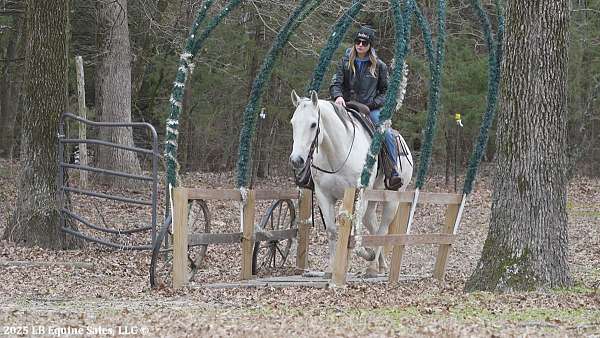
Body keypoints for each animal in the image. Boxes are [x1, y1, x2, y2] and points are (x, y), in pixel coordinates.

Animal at [290, 90, 412, 278]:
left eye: (313, 124)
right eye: (293, 123)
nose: (296, 160)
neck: (337, 152)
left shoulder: (358, 195)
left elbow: (352, 230)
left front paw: (362, 255)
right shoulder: (324, 195)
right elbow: (332, 231)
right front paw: (331, 268)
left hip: (393, 198)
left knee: (382, 228)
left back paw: (372, 266)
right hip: (373, 199)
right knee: (373, 226)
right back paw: (381, 265)